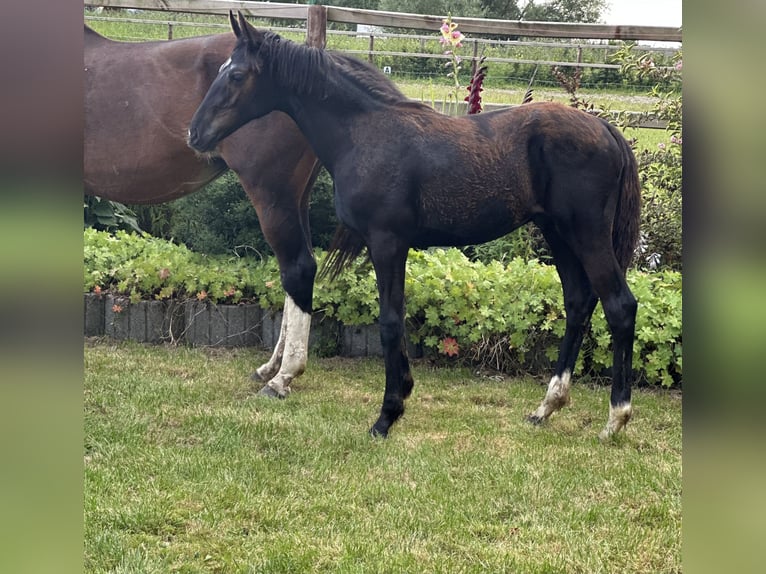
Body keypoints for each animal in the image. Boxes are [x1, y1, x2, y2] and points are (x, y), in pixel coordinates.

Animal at [189, 12, 641, 441]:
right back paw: (547, 407)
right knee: (578, 303)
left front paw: (387, 415)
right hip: (558, 234)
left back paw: (615, 419)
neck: (364, 133)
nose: (194, 134)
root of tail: (607, 129)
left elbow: (391, 322)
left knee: (620, 306)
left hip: (587, 234)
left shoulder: (388, 242)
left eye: (236, 75)